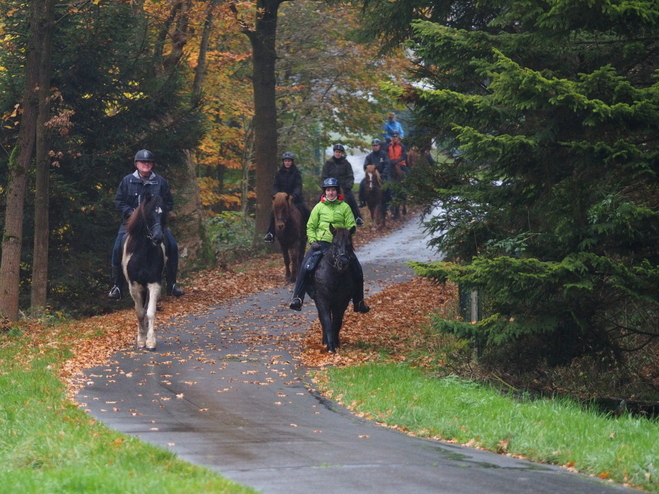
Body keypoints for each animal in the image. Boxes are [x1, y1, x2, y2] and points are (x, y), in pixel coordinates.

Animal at [122, 193, 168, 352]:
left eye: (163, 214)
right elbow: (140, 312)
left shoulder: (154, 283)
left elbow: (150, 312)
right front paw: (141, 340)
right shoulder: (134, 285)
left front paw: (150, 342)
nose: (158, 238)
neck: (144, 254)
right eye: (149, 215)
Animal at [310, 226, 356, 354]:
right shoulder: (322, 301)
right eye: (335, 243)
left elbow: (337, 323)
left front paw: (336, 343)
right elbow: (327, 322)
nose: (343, 262)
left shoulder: (341, 303)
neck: (335, 276)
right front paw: (330, 347)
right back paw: (325, 341)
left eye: (349, 244)